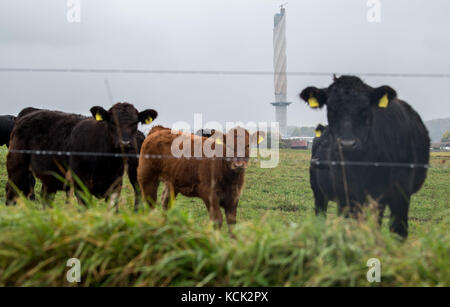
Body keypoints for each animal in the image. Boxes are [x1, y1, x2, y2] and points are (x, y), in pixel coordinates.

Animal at [300, 76, 430, 239]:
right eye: (331, 109)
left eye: (365, 109)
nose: (347, 144)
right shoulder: (347, 196)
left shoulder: (398, 194)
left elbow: (395, 230)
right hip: (319, 193)